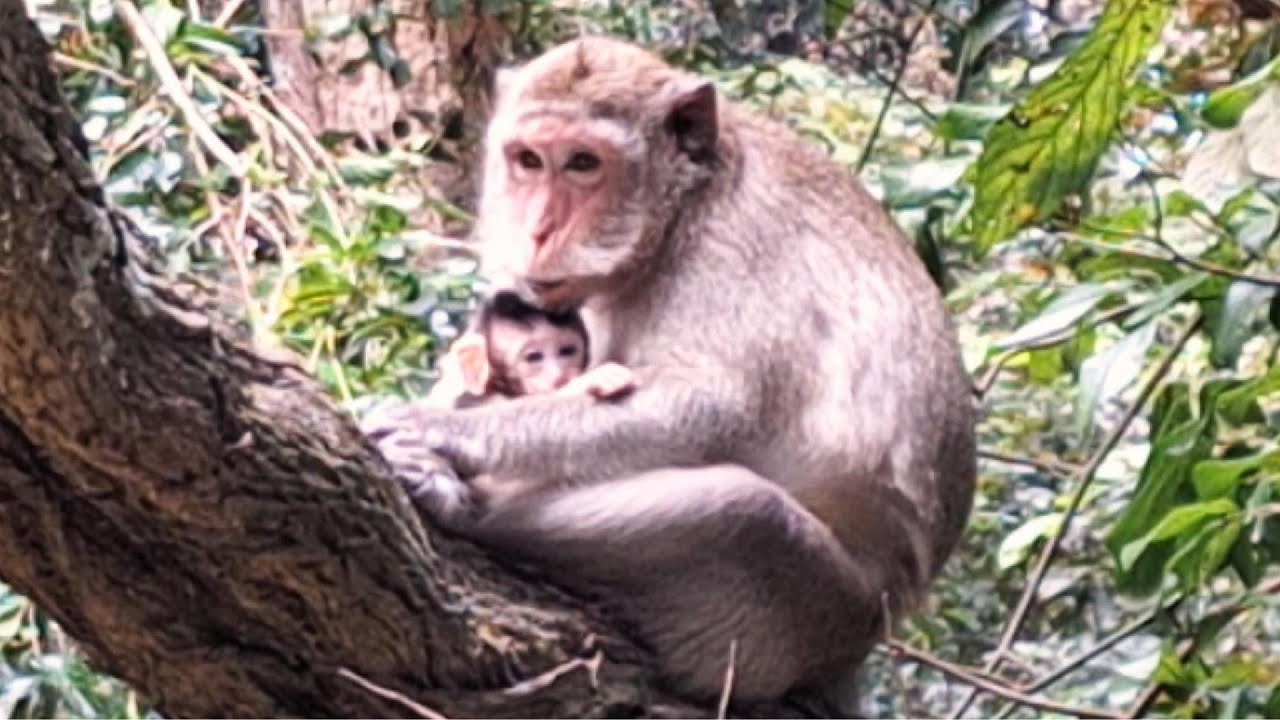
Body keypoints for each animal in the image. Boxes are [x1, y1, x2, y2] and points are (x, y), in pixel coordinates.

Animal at [361, 35, 977, 713]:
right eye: (528, 160)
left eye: (582, 163)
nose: (539, 230)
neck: (679, 212)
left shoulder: (733, 249)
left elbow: (708, 406)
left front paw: (437, 432)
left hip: (810, 616)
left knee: (745, 512)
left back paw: (471, 507)